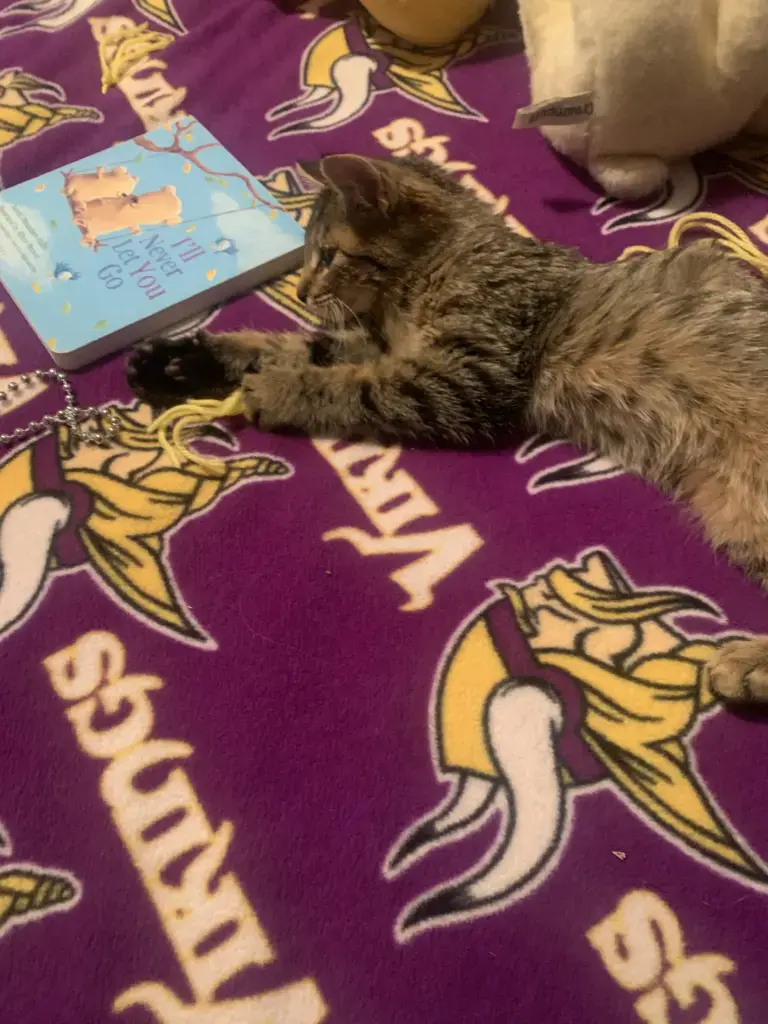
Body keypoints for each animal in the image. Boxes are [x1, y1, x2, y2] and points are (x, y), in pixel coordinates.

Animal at [127, 152, 768, 702]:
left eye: (328, 255)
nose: (303, 291)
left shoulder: (464, 376)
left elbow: (353, 385)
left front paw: (280, 390)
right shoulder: (382, 346)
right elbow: (287, 346)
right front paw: (182, 361)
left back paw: (746, 666)